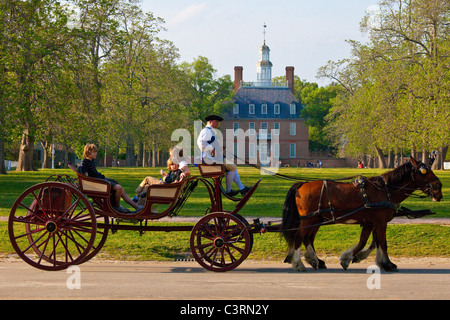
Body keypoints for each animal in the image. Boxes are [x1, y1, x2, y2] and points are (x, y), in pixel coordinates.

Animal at [282, 156, 442, 272]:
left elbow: (370, 241)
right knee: (299, 237)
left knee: (307, 238)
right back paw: (299, 263)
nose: (439, 188)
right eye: (424, 171)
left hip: (315, 219)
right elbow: (381, 243)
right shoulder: (380, 222)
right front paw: (386, 263)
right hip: (309, 220)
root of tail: (302, 184)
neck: (385, 190)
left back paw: (314, 260)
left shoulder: (372, 222)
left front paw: (370, 260)